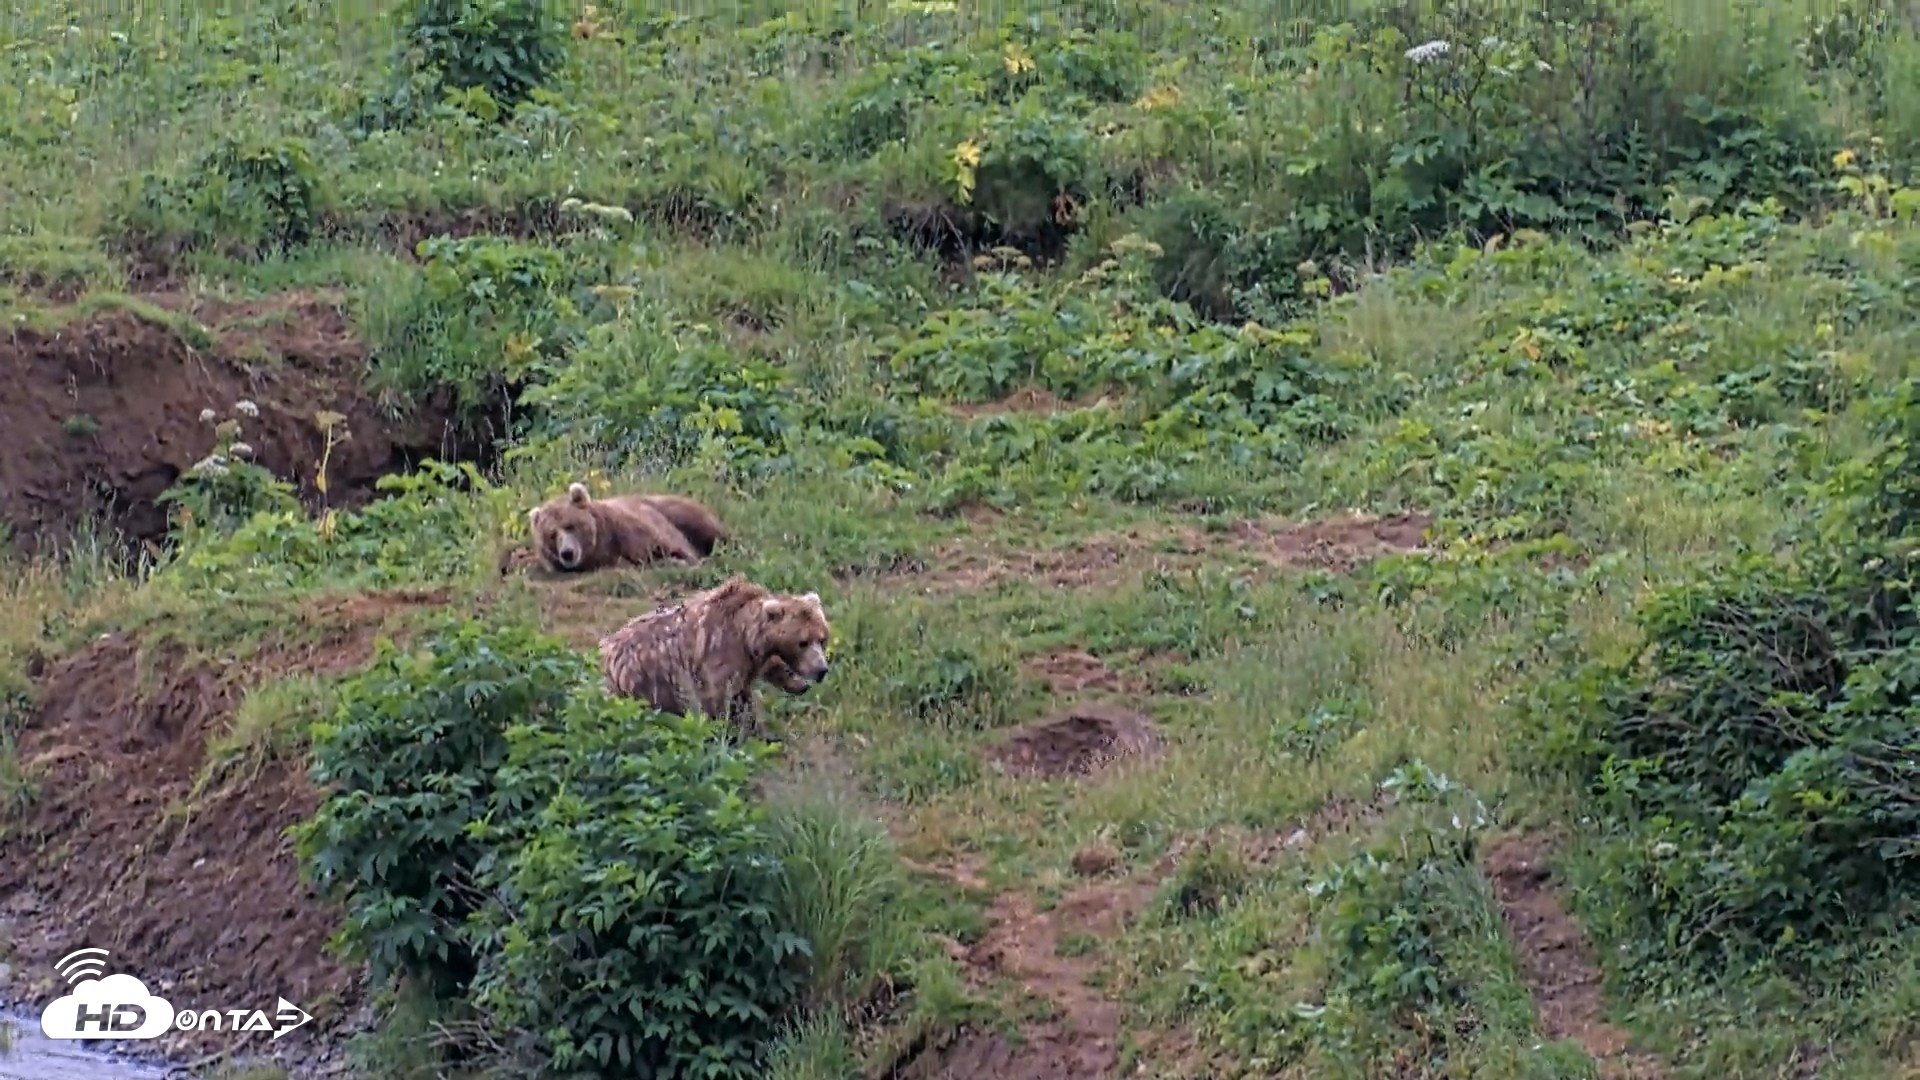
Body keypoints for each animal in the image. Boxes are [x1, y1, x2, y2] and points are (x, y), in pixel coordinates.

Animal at [527, 482, 728, 573]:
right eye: (552, 534)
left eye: (570, 525)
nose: (567, 553)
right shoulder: (609, 559)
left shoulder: (633, 527)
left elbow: (673, 546)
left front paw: (687, 559)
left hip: (671, 508)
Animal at [598, 577, 832, 738]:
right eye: (803, 642)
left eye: (822, 639)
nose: (822, 670)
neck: (747, 635)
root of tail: (606, 651)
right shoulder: (720, 654)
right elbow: (724, 700)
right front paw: (733, 731)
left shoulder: (749, 660)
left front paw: (795, 684)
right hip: (646, 685)